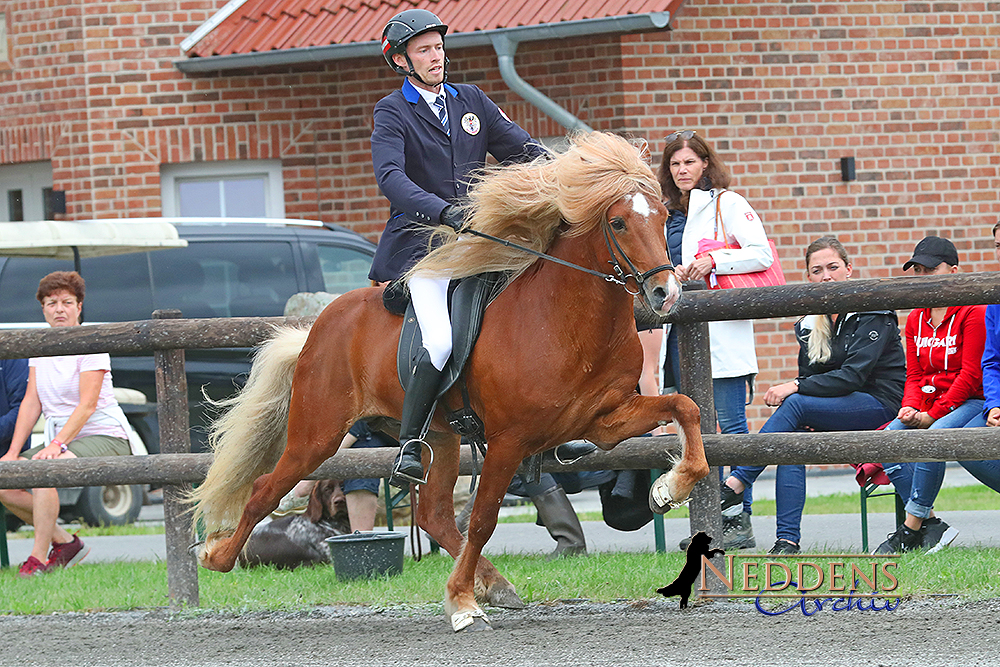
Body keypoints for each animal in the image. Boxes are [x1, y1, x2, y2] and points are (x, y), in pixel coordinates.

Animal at [189, 133, 712, 636]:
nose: (666, 293)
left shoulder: (603, 421)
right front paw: (461, 605)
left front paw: (668, 488)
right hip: (316, 435)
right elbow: (482, 519)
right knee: (265, 488)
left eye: (665, 215)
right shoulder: (508, 441)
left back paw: (495, 584)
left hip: (437, 436)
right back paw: (217, 556)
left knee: (433, 514)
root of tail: (315, 328)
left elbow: (686, 407)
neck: (566, 320)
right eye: (619, 223)